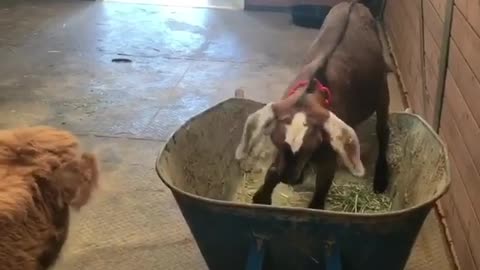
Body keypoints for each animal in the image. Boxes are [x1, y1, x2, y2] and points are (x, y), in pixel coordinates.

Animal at [235, 0, 390, 209]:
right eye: (276, 141)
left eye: (311, 146)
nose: (289, 178)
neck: (309, 93)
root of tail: (354, 3)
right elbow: (272, 172)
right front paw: (261, 197)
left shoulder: (328, 156)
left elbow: (321, 190)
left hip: (382, 88)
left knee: (383, 130)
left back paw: (381, 178)